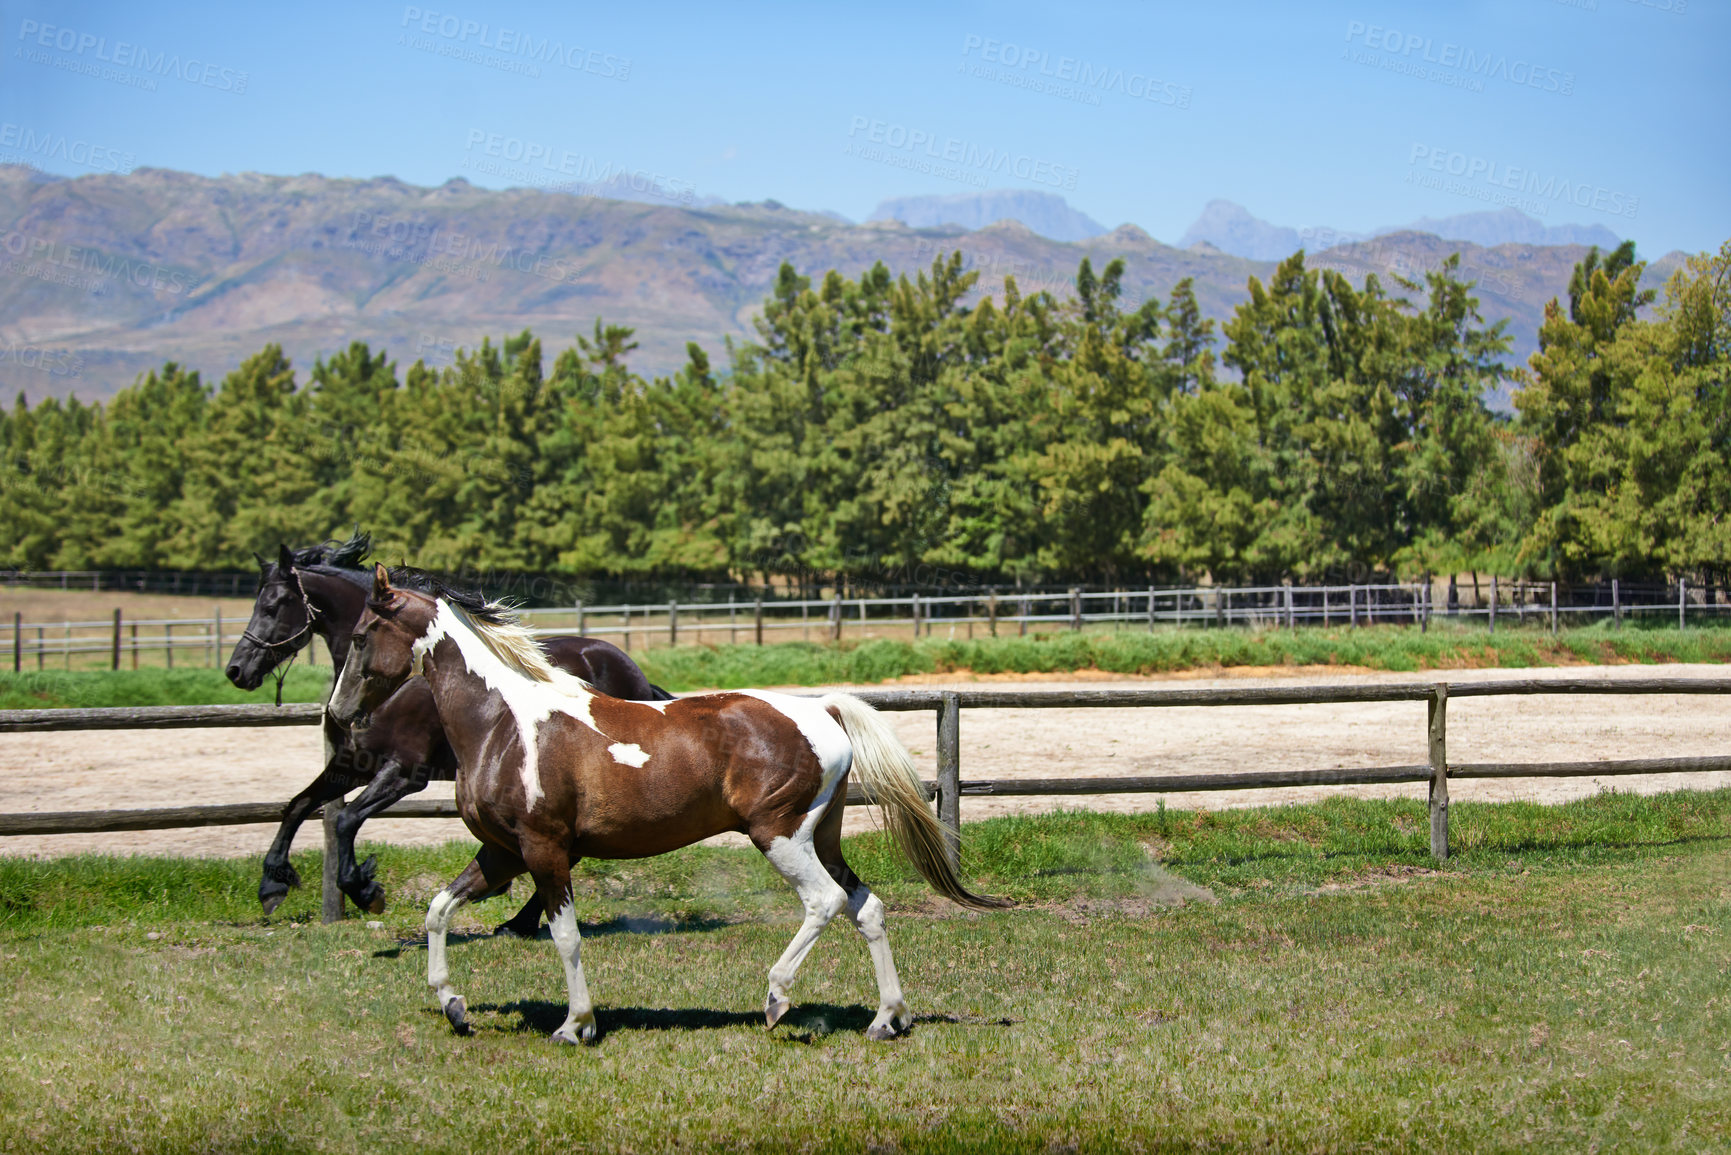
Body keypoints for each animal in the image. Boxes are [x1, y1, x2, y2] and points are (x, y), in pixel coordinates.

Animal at [223, 533, 668, 928]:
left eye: (273, 605)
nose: (236, 670)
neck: (395, 689)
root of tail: (633, 672)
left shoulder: (405, 773)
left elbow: (346, 818)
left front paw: (365, 889)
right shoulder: (353, 765)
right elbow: (297, 806)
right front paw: (272, 885)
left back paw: (518, 922)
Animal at [330, 567, 1010, 1045]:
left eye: (362, 635)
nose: (338, 713)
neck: (505, 725)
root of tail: (822, 708)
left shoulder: (544, 849)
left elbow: (566, 936)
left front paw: (576, 1025)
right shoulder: (502, 854)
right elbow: (438, 909)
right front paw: (454, 1007)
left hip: (780, 835)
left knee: (825, 902)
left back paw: (776, 999)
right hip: (823, 836)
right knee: (867, 907)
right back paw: (888, 1018)